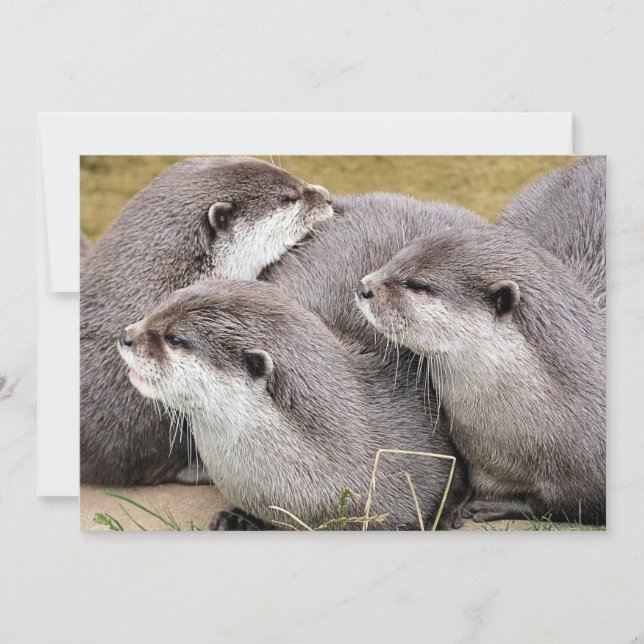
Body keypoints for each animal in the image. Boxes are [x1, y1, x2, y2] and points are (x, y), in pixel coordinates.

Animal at [357, 226, 605, 525]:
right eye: (396, 258)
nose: (363, 287)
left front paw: (495, 505)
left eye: (418, 284)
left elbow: (558, 503)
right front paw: (448, 508)